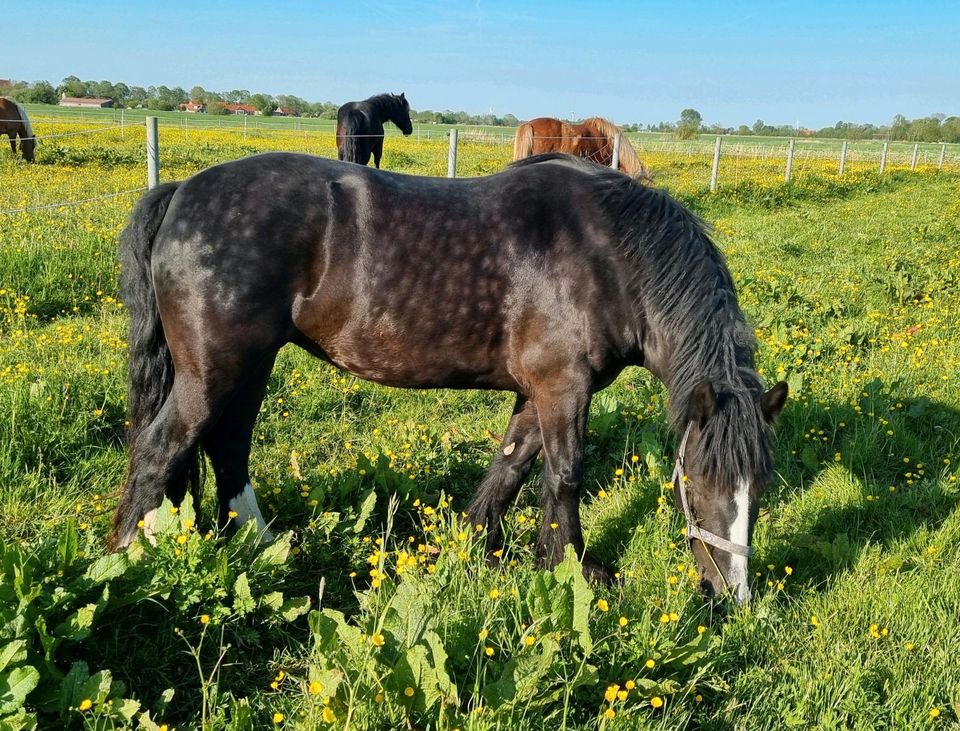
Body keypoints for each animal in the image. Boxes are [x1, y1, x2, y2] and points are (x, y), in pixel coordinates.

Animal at [112, 152, 788, 604]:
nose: (732, 597)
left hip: (251, 364)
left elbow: (511, 466)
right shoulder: (562, 386)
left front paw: (472, 548)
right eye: (695, 480)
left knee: (228, 447)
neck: (612, 255)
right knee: (160, 449)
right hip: (214, 369)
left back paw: (261, 543)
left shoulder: (537, 392)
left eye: (760, 486)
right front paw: (573, 568)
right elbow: (564, 475)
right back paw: (129, 561)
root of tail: (181, 192)